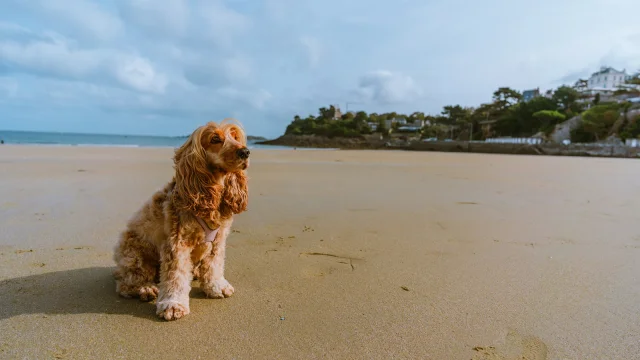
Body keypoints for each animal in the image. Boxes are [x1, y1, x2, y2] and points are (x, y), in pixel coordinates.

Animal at [112, 120, 250, 320]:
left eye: (235, 137)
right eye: (215, 139)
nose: (245, 152)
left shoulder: (218, 240)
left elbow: (214, 264)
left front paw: (217, 286)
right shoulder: (177, 242)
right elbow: (175, 275)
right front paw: (173, 304)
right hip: (134, 254)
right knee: (126, 283)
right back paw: (145, 288)